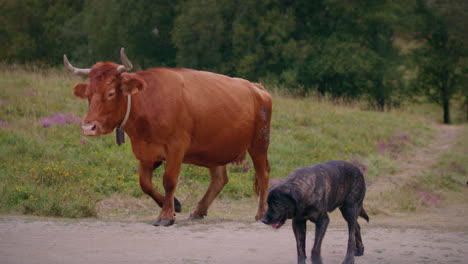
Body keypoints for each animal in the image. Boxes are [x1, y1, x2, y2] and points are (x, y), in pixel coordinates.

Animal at [64, 48, 272, 226]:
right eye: (88, 95)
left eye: (111, 93)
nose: (88, 127)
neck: (149, 101)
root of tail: (255, 86)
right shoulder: (146, 152)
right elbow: (145, 184)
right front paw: (175, 206)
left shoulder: (176, 147)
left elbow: (169, 180)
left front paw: (165, 215)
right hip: (215, 147)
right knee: (219, 179)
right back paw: (198, 211)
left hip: (259, 143)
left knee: (263, 175)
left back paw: (262, 213)